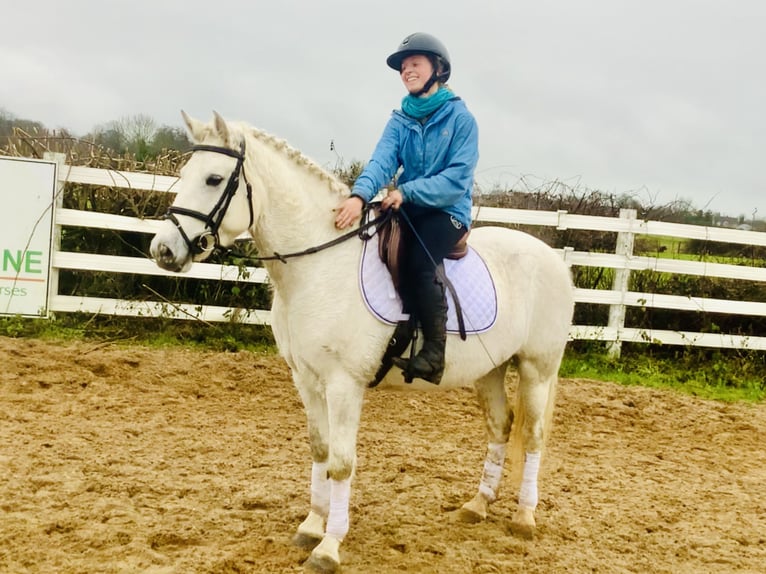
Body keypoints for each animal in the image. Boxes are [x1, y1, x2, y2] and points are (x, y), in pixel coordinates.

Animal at [150, 110, 572, 572]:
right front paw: (311, 527)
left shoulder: (343, 385)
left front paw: (329, 546)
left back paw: (524, 517)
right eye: (184, 173)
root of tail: (554, 258)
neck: (318, 266)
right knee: (500, 426)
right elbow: (320, 450)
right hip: (491, 369)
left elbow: (341, 463)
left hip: (537, 368)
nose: (163, 251)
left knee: (532, 435)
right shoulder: (306, 380)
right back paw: (477, 506)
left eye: (213, 179)